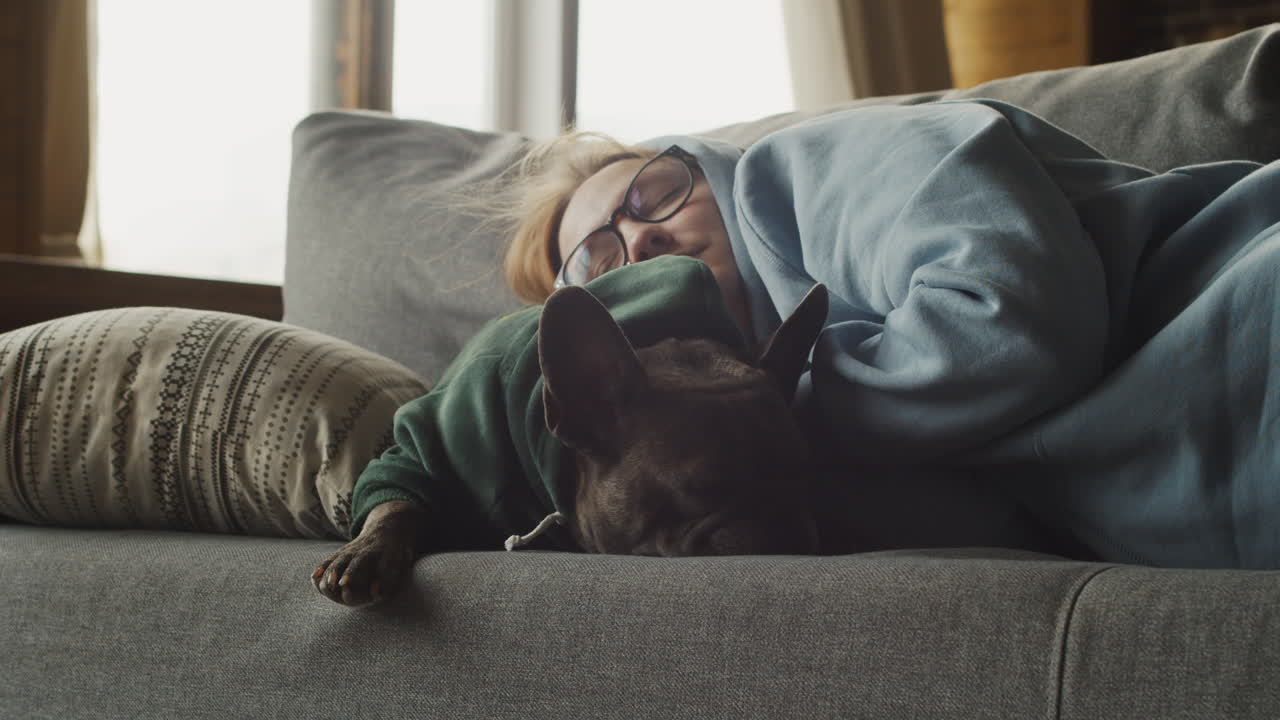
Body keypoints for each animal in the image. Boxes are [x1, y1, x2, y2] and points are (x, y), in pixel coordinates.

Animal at [314, 283, 824, 602]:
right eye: (698, 490)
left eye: (807, 476)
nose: (788, 528)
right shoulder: (431, 453)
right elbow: (398, 500)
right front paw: (367, 550)